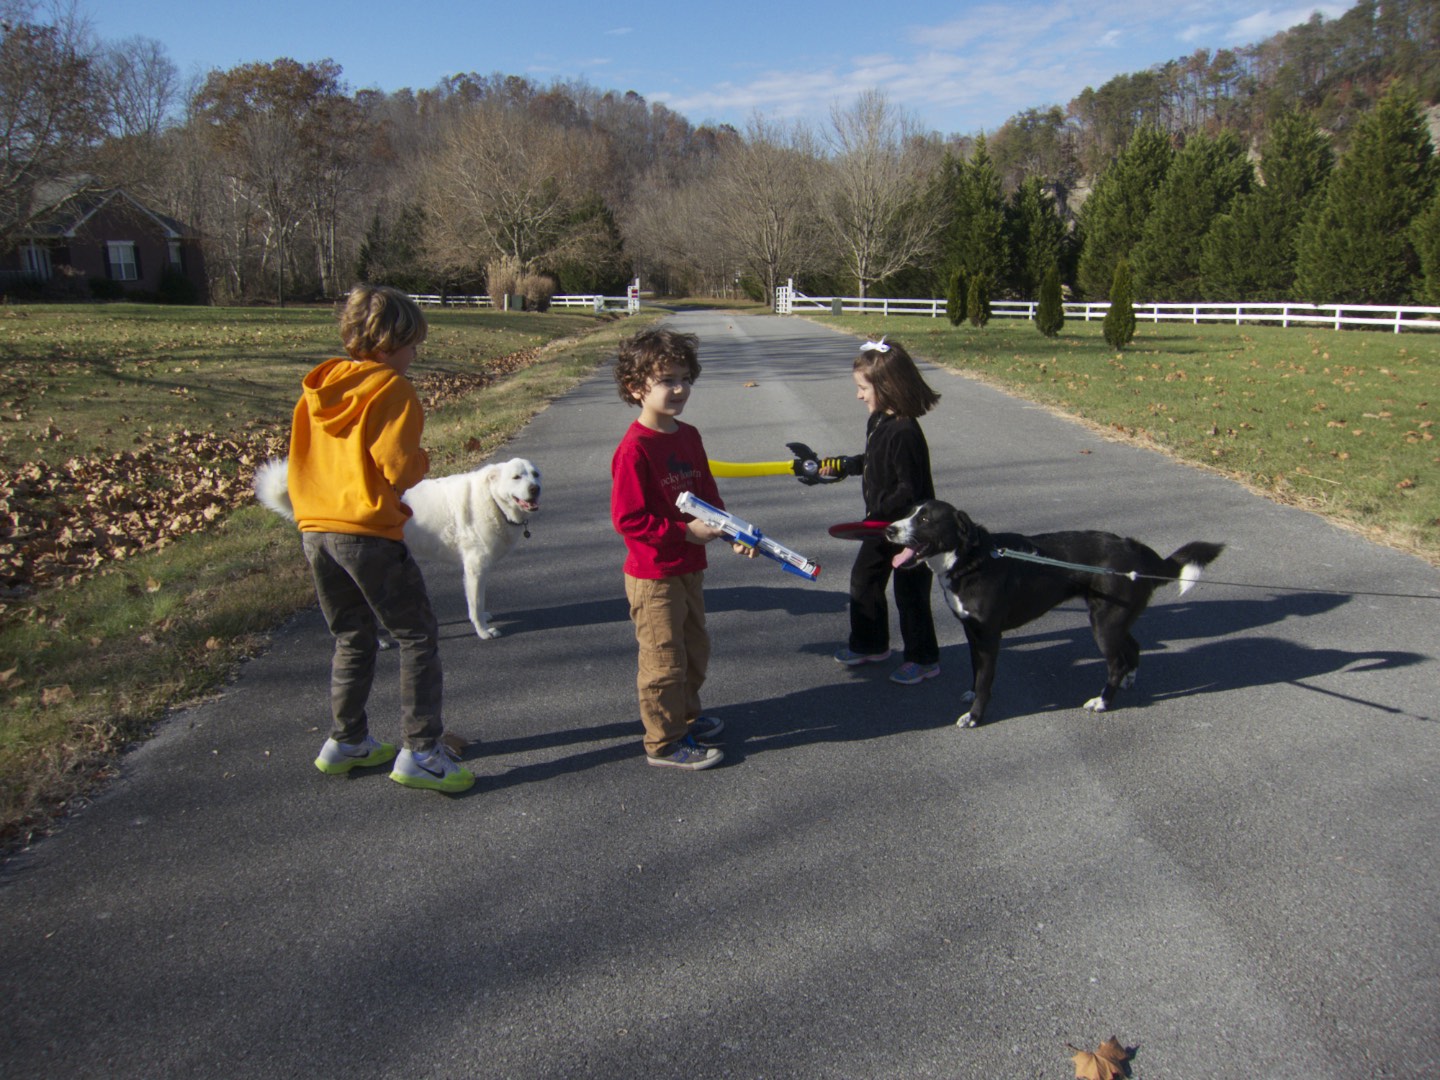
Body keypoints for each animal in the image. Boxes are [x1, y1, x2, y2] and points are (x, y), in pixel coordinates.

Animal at [254, 456, 541, 640]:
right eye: (516, 477)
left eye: (535, 474)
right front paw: (482, 631)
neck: (493, 499)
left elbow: (478, 602)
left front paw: (484, 617)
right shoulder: (474, 569)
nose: (535, 488)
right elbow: (474, 603)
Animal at [886, 500, 1223, 727]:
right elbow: (975, 669)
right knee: (1133, 647)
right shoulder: (973, 631)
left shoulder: (990, 636)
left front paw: (975, 716)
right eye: (910, 512)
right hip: (1115, 620)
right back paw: (1129, 679)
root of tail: (1138, 552)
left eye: (925, 518)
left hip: (1104, 624)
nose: (889, 529)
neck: (970, 559)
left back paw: (1103, 702)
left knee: (1115, 663)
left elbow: (985, 679)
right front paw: (970, 695)